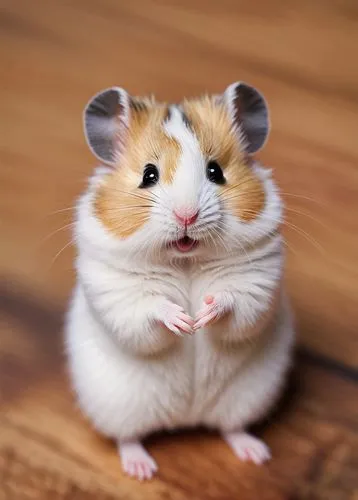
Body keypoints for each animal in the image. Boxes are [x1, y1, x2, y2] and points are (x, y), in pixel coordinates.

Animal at [65, 82, 296, 480]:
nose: (187, 216)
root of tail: (186, 418)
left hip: (247, 398)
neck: (186, 260)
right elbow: (149, 308)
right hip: (118, 406)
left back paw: (256, 453)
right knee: (128, 437)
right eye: (149, 175)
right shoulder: (119, 292)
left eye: (216, 171)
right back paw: (141, 469)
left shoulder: (257, 279)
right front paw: (184, 322)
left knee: (232, 427)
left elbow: (234, 301)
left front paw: (202, 316)